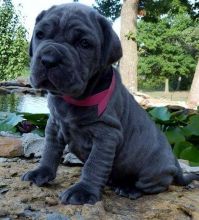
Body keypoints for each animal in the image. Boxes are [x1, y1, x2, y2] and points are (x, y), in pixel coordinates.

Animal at [21, 3, 199, 205]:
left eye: (84, 43)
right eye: (40, 34)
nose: (49, 60)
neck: (72, 98)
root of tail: (176, 164)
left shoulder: (106, 135)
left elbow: (94, 165)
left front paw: (83, 191)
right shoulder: (53, 125)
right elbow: (49, 152)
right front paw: (40, 172)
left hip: (152, 170)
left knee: (153, 186)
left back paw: (129, 188)